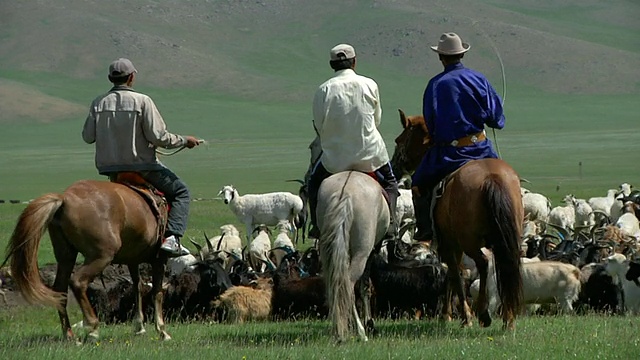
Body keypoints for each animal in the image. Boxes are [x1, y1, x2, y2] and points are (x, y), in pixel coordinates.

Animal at [1, 180, 171, 344]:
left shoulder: (133, 259)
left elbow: (138, 286)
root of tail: (65, 198)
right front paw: (162, 331)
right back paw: (92, 328)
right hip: (100, 257)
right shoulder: (159, 259)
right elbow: (157, 292)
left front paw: (139, 327)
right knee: (78, 282)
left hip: (66, 256)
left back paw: (70, 335)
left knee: (60, 288)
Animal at [316, 170, 390, 342]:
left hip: (329, 249)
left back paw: (338, 329)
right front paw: (369, 323)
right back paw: (360, 332)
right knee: (348, 285)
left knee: (335, 284)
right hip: (361, 252)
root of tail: (345, 192)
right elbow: (365, 286)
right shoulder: (371, 252)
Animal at [392, 109, 524, 330]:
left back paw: (483, 313)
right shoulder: (454, 244)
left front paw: (459, 315)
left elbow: (453, 272)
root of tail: (492, 177)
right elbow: (455, 273)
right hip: (504, 240)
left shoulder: (448, 243)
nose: (395, 167)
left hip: (469, 240)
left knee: (483, 263)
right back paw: (509, 318)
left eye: (399, 140)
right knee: (507, 267)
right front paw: (453, 314)